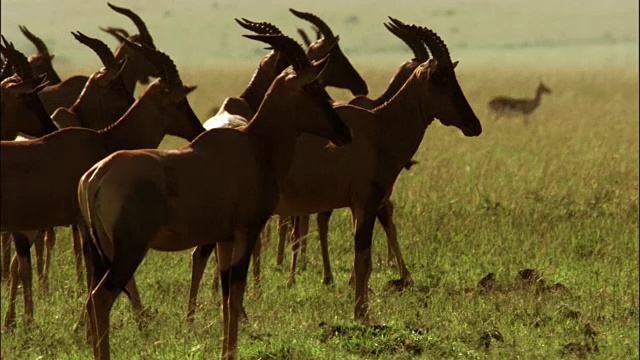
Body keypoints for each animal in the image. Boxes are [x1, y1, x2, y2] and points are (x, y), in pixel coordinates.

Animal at [0, 40, 205, 332]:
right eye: (177, 99)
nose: (199, 130)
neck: (102, 140)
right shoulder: (85, 224)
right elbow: (95, 269)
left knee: (18, 264)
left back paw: (14, 322)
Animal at [77, 33, 352, 360]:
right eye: (312, 87)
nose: (344, 133)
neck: (253, 146)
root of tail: (95, 176)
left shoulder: (224, 238)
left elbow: (225, 296)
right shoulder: (247, 231)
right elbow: (236, 293)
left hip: (101, 251)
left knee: (91, 299)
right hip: (129, 251)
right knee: (101, 298)